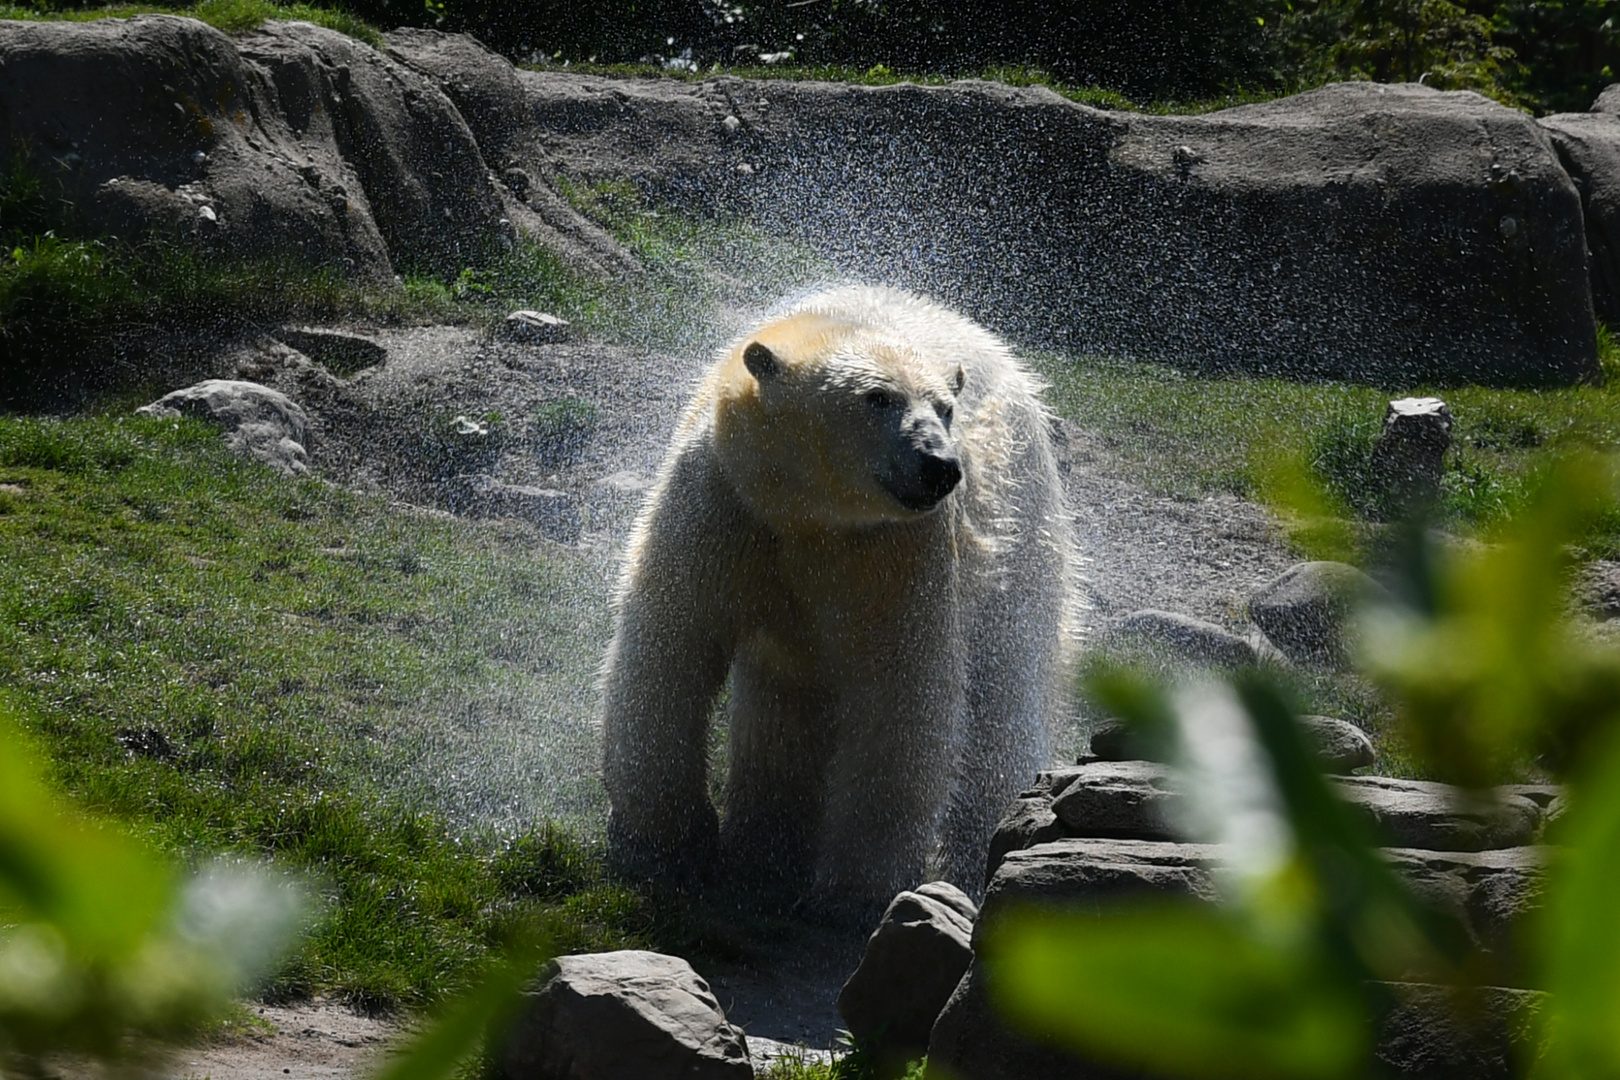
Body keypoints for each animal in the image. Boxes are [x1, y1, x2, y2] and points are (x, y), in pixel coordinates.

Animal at [596, 286, 1075, 919]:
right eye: (878, 398)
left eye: (945, 407)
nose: (940, 466)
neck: (810, 514)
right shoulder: (725, 500)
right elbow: (672, 642)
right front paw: (664, 842)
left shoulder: (897, 549)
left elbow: (900, 692)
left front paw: (852, 891)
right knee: (784, 703)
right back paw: (763, 848)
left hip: (1020, 539)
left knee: (1001, 698)